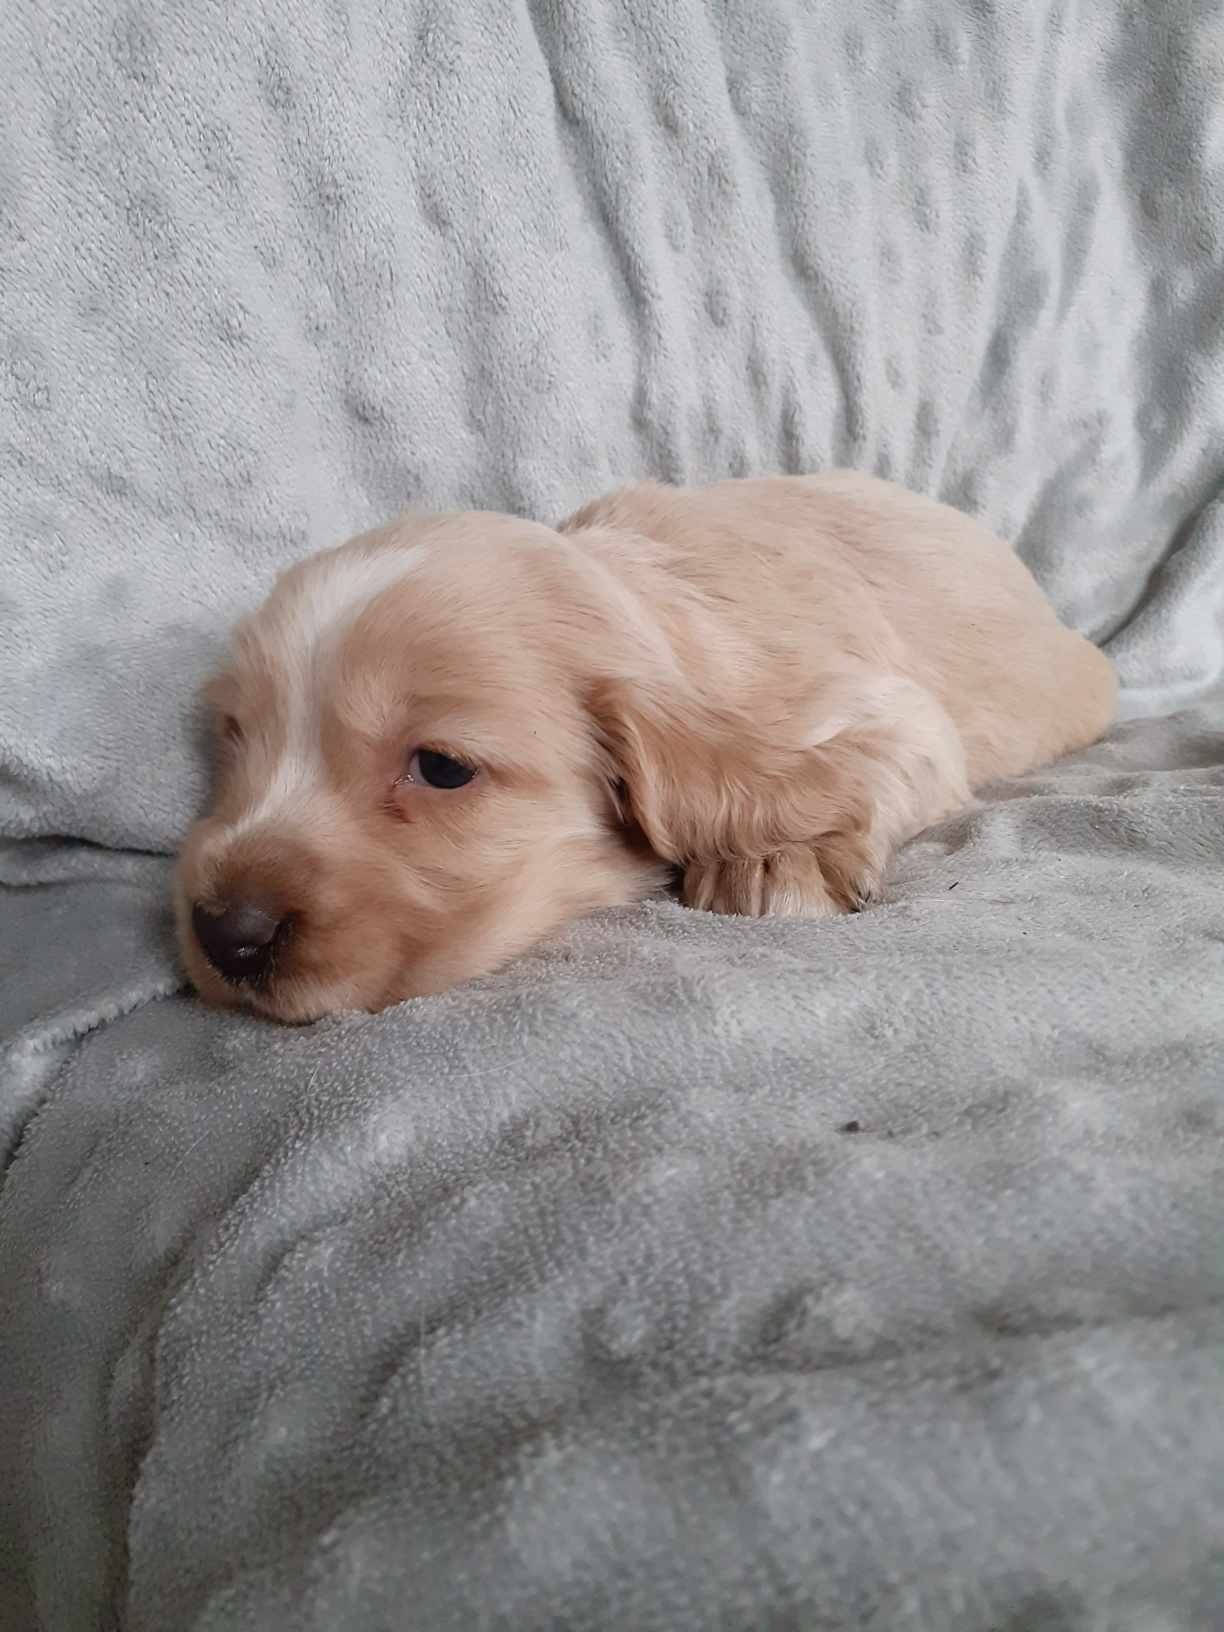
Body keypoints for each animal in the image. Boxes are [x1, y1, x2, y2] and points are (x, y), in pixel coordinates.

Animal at [174, 466, 1122, 1018]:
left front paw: (772, 858)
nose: (224, 934)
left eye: (441, 768)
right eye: (236, 741)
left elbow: (854, 761)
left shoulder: (889, 705)